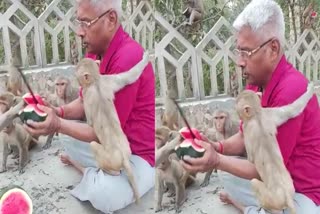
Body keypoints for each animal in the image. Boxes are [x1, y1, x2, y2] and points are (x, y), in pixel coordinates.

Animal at [75, 51, 150, 203]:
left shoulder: (87, 94)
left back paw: (108, 171)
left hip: (109, 159)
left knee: (93, 145)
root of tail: (123, 157)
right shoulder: (108, 80)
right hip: (127, 149)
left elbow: (90, 123)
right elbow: (127, 78)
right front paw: (145, 59)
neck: (96, 81)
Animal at [235, 83, 316, 213]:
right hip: (291, 188)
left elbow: (251, 159)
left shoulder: (248, 129)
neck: (257, 115)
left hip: (271, 198)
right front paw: (310, 89)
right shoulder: (270, 113)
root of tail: (287, 196)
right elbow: (292, 110)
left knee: (254, 183)